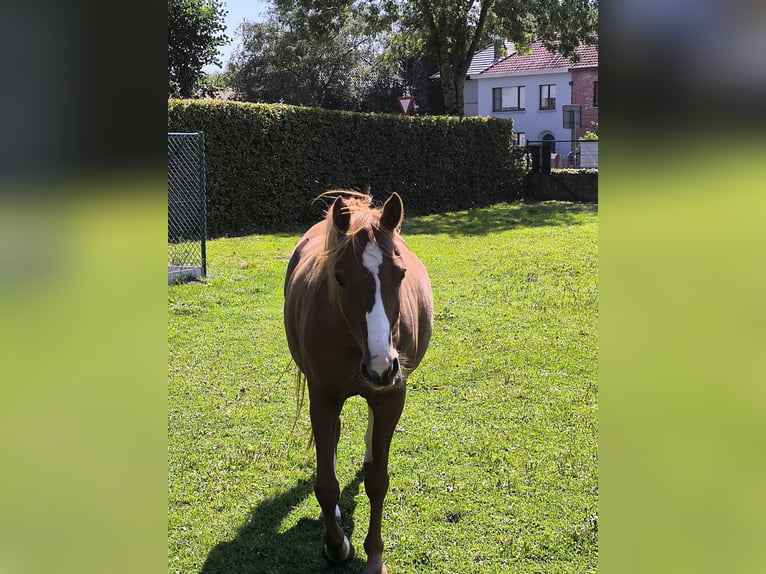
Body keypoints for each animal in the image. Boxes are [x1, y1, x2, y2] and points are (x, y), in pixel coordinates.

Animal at [284, 194, 436, 574]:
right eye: (339, 278)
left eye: (400, 273)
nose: (382, 365)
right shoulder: (323, 398)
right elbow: (326, 485)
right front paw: (336, 546)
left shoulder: (392, 396)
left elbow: (378, 483)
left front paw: (375, 556)